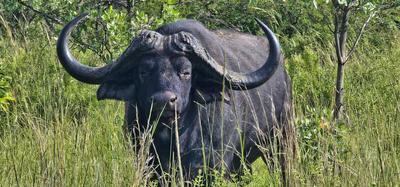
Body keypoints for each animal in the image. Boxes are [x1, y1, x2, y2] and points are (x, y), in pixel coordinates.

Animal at [56, 12, 296, 184]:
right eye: (143, 71)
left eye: (186, 71)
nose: (164, 101)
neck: (174, 137)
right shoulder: (146, 163)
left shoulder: (212, 166)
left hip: (282, 140)